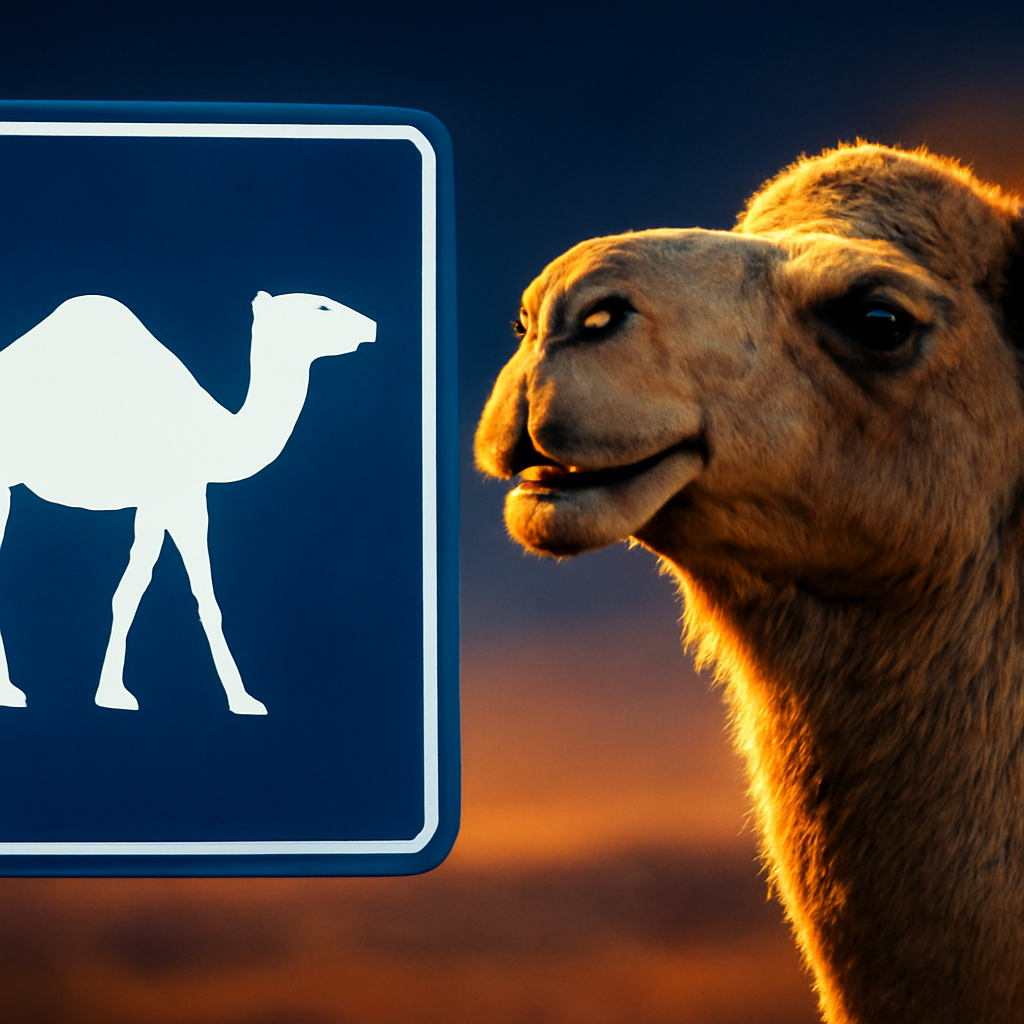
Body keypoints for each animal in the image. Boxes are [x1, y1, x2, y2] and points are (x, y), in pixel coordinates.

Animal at [0, 290, 375, 715]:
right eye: (321, 307)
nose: (373, 327)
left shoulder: (168, 499)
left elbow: (137, 592)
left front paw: (114, 692)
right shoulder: (181, 494)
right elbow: (194, 595)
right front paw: (240, 699)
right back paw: (10, 692)